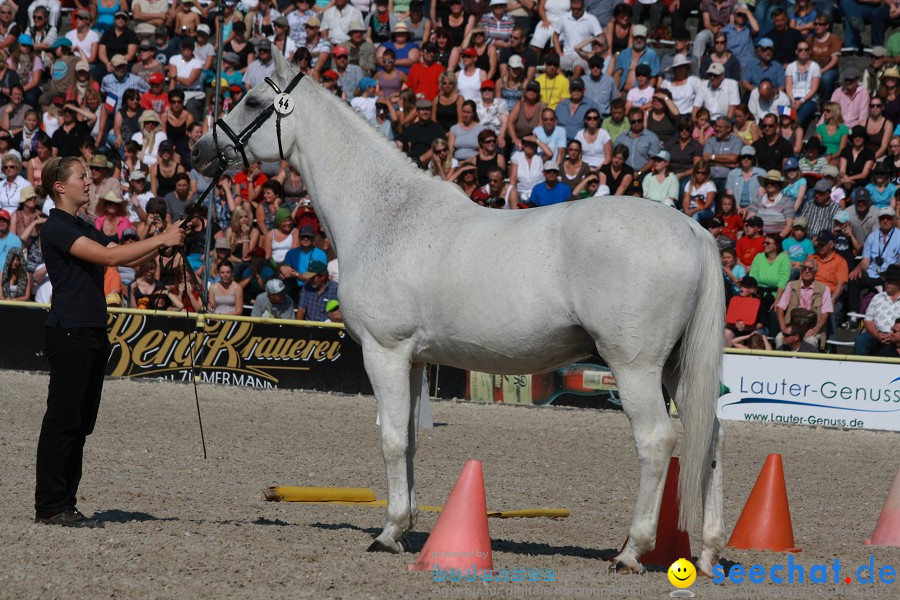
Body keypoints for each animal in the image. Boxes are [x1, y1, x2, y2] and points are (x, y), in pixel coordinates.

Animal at [193, 51, 728, 576]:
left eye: (252, 100)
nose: (200, 151)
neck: (385, 215)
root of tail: (692, 230)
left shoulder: (384, 352)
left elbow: (391, 439)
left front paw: (387, 534)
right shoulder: (412, 359)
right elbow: (410, 438)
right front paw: (403, 526)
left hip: (635, 367)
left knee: (657, 441)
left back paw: (631, 552)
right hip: (677, 368)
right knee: (709, 441)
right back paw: (707, 553)